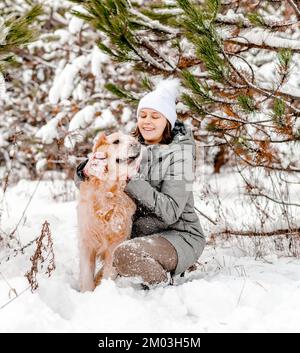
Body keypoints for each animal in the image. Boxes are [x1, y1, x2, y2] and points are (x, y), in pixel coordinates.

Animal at [77, 131, 141, 290]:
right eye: (116, 141)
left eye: (132, 138)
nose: (137, 144)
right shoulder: (87, 239)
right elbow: (86, 274)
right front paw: (87, 292)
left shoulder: (116, 242)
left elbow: (109, 271)